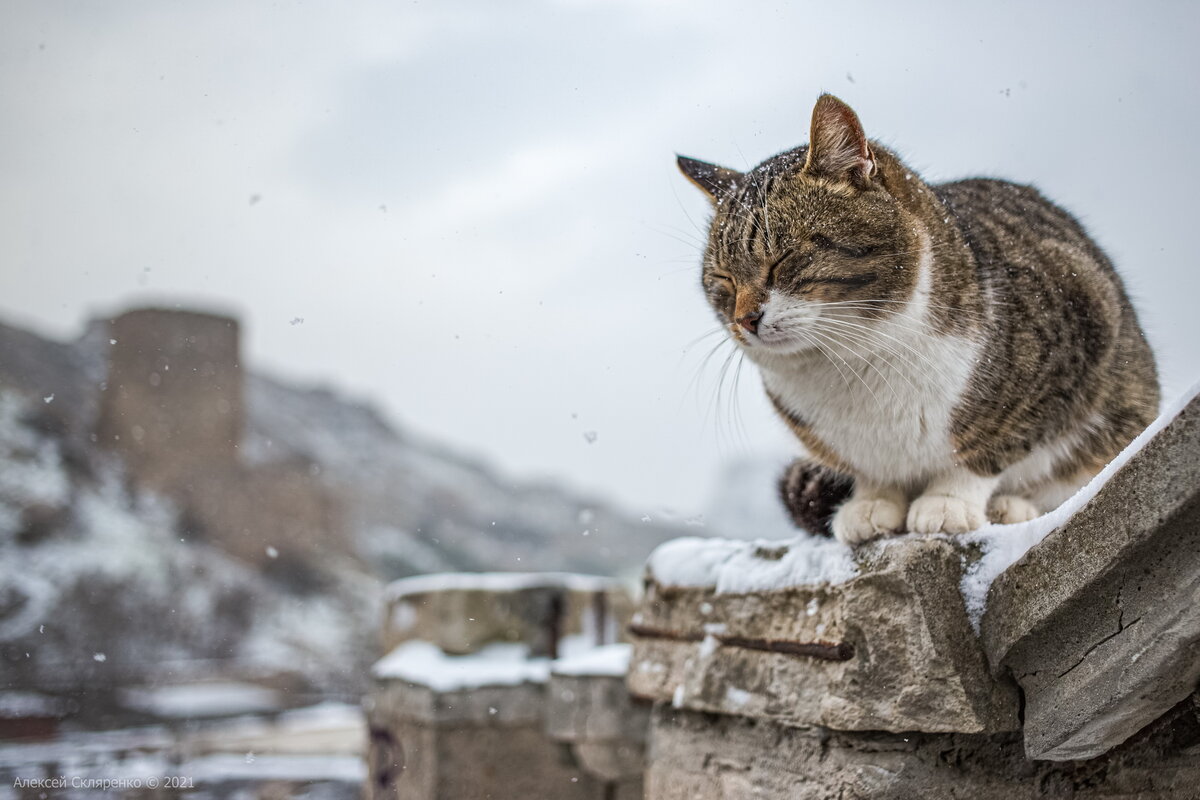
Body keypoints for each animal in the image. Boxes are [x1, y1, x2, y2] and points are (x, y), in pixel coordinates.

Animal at [686, 92, 1161, 544]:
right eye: (723, 279)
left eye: (783, 260)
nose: (745, 320)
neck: (852, 365)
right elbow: (873, 473)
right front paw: (872, 504)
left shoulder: (1074, 335)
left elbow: (992, 448)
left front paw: (948, 501)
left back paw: (1011, 507)